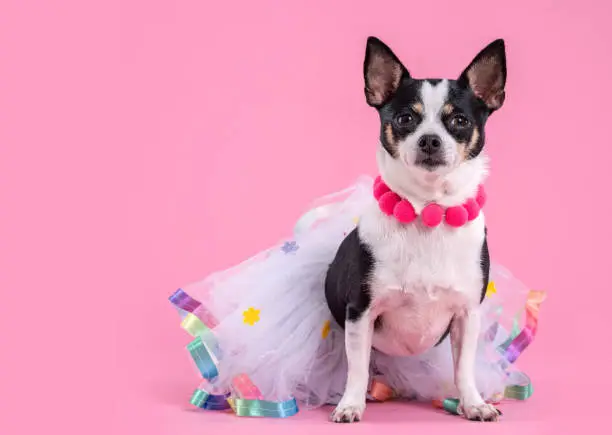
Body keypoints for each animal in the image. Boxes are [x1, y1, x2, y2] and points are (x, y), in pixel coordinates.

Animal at [326, 37, 506, 422]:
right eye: (405, 118)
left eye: (459, 121)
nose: (430, 140)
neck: (428, 211)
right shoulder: (360, 313)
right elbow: (356, 368)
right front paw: (350, 405)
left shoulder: (467, 315)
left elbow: (463, 368)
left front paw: (474, 404)